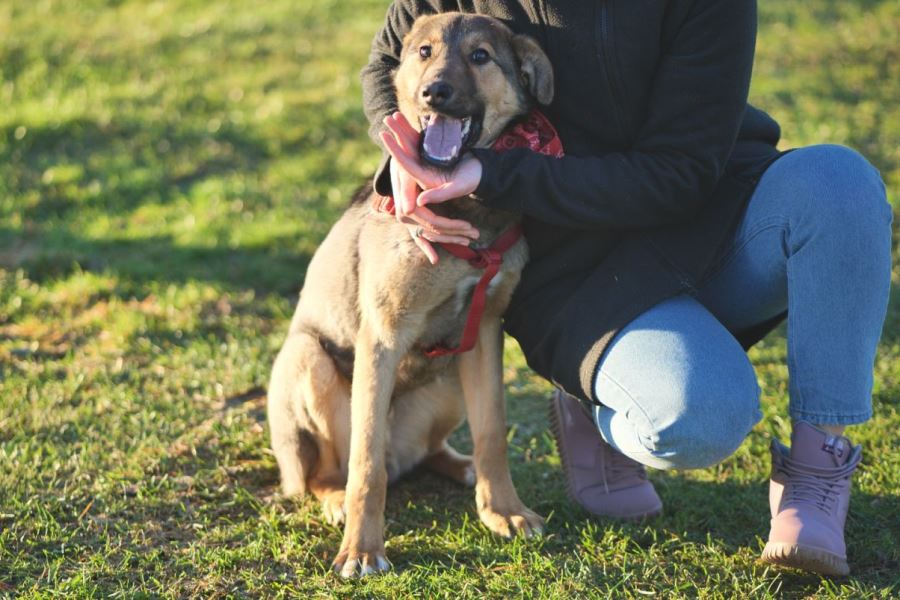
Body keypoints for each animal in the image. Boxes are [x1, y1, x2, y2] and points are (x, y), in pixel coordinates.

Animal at [267, 12, 554, 577]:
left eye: (481, 56)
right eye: (424, 51)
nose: (433, 92)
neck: (466, 215)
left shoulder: (485, 334)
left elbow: (493, 434)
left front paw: (503, 510)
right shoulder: (382, 338)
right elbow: (365, 465)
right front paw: (362, 549)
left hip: (448, 383)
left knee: (431, 451)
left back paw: (462, 468)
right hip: (307, 360)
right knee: (328, 471)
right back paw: (336, 498)